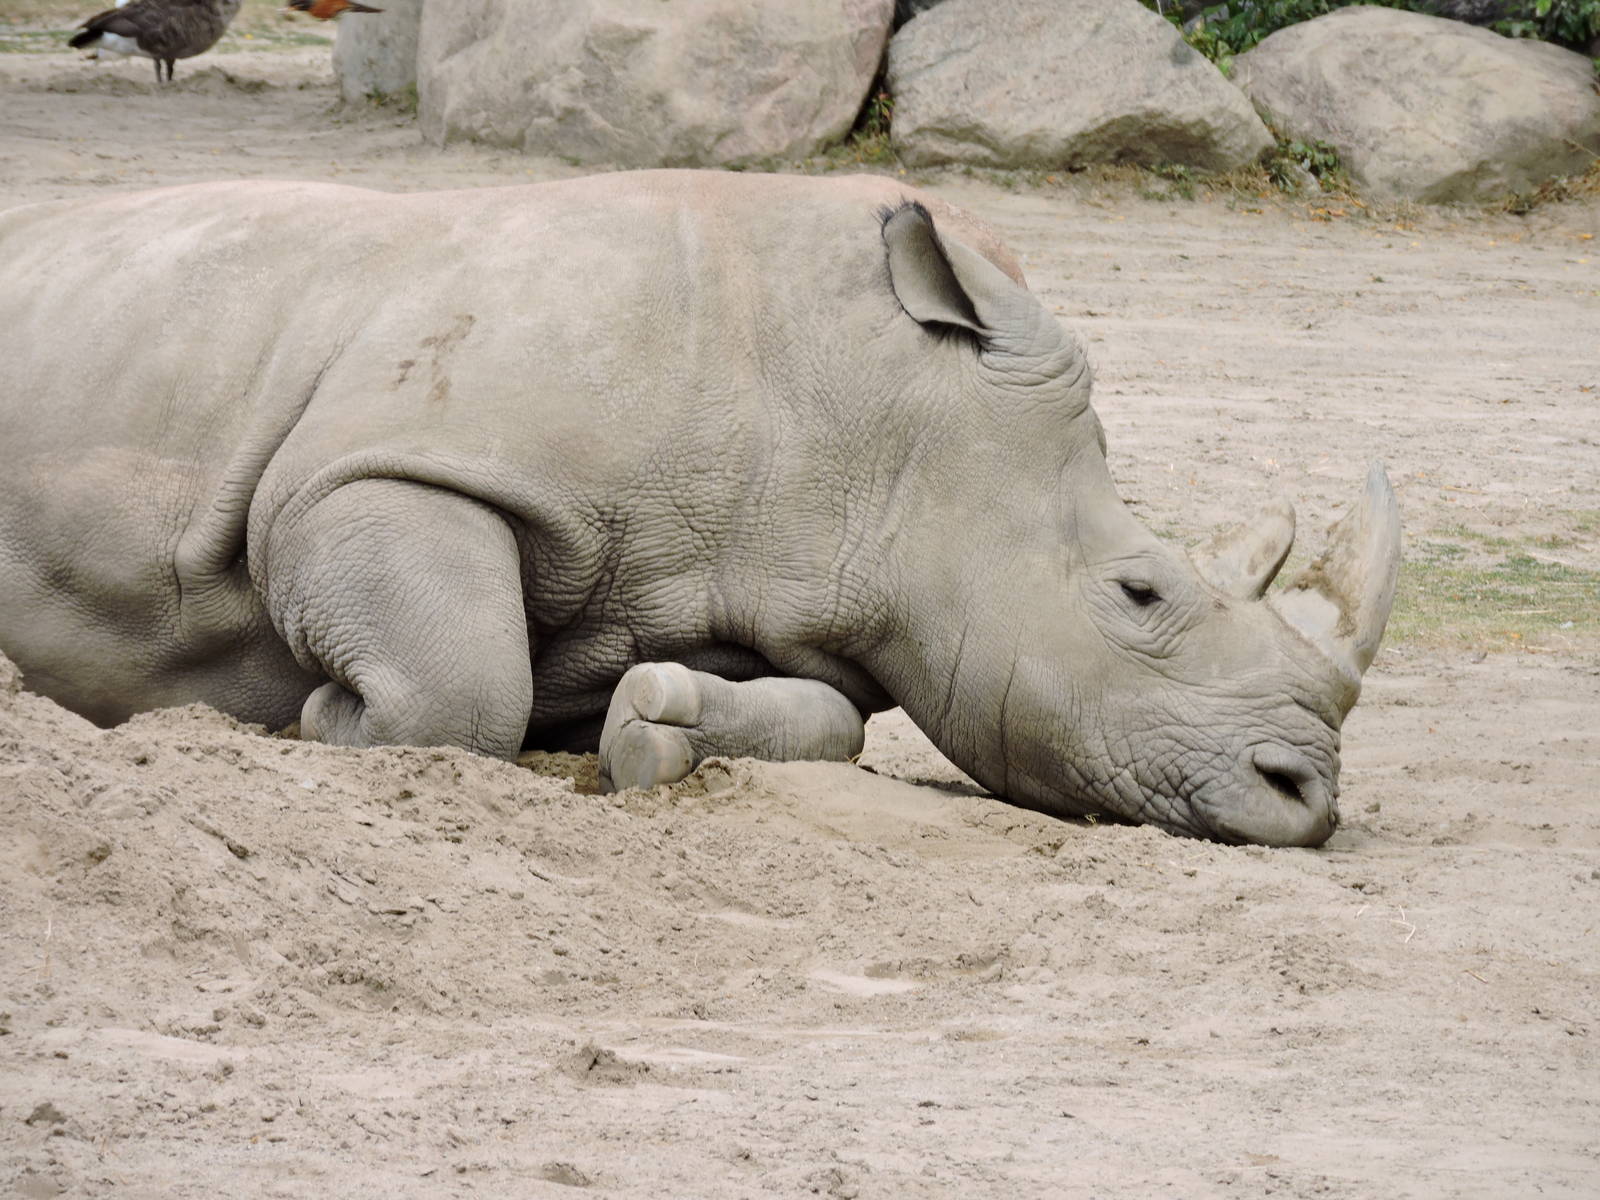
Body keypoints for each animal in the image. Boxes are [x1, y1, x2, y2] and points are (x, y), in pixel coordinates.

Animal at [0, 171, 1399, 847]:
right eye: (1138, 592)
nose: (1302, 795)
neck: (887, 423)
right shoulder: (369, 468)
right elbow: (460, 687)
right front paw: (310, 722)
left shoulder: (772, 579)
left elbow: (825, 724)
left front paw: (650, 729)